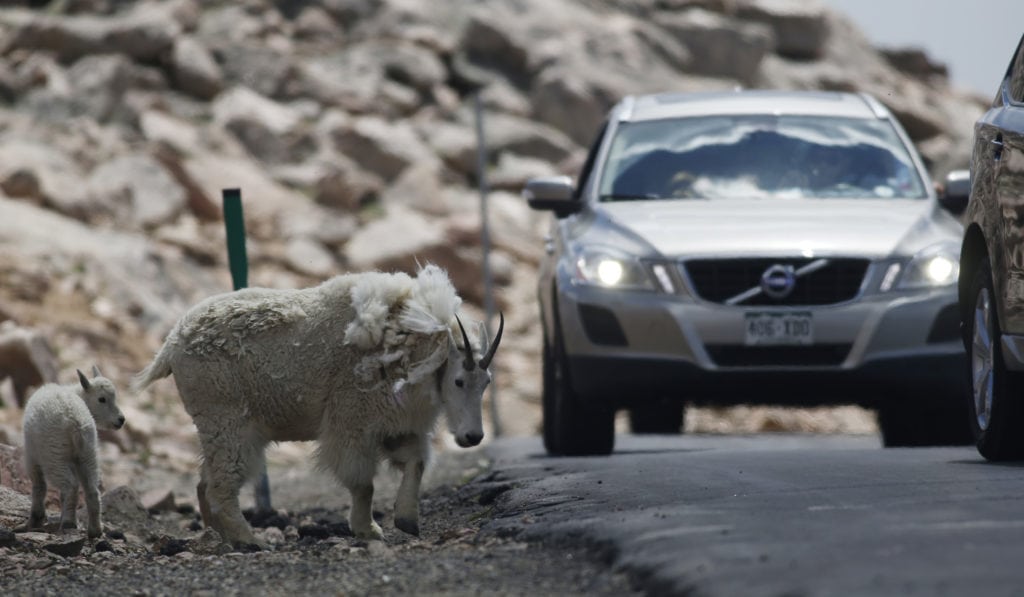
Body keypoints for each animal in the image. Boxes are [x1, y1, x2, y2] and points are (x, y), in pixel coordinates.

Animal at [134, 264, 501, 544]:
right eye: (458, 380)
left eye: (487, 382)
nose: (473, 437)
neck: (407, 347)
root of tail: (170, 344)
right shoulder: (353, 419)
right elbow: (363, 483)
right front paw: (368, 530)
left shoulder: (397, 425)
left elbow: (416, 464)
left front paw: (407, 521)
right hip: (226, 419)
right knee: (221, 485)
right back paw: (250, 540)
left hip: (216, 426)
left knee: (204, 482)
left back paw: (222, 537)